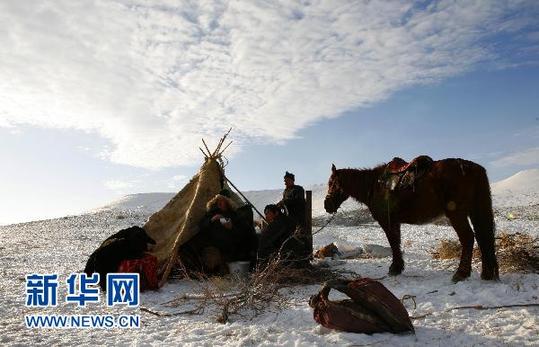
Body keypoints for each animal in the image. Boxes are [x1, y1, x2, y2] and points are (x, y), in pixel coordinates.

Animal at [322, 158, 500, 282]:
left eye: (332, 183)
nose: (327, 205)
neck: (374, 185)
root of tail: (471, 167)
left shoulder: (387, 222)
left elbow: (393, 243)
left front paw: (394, 268)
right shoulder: (395, 222)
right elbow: (396, 243)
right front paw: (398, 267)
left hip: (456, 213)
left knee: (468, 238)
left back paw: (461, 274)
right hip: (474, 211)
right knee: (483, 238)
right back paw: (487, 274)